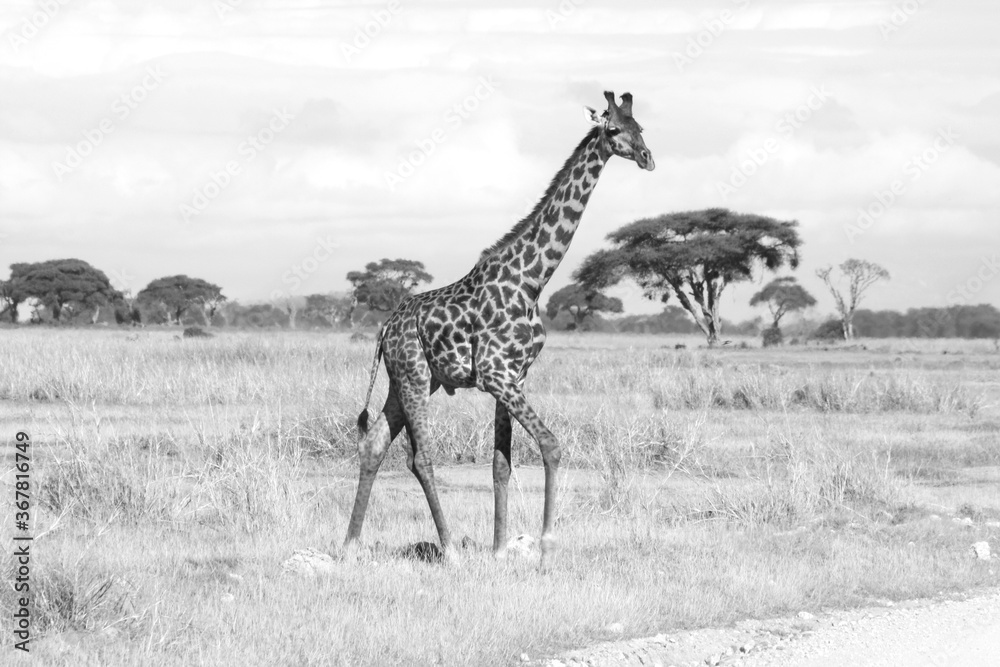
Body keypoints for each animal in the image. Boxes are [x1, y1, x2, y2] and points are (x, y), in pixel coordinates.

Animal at [344, 91, 655, 569]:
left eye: (642, 128)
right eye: (614, 129)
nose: (646, 157)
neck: (531, 280)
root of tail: (385, 328)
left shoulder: (514, 375)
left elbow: (501, 463)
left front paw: (500, 549)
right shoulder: (495, 374)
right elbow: (551, 444)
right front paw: (546, 549)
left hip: (408, 380)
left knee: (374, 443)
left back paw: (349, 547)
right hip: (413, 376)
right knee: (421, 457)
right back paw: (450, 550)